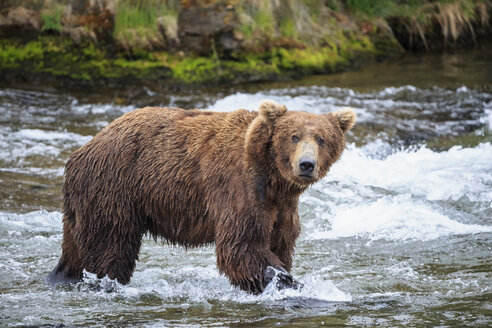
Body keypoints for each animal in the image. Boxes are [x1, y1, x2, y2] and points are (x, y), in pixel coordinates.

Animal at [47, 99, 354, 292]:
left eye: (322, 139)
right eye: (293, 136)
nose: (306, 164)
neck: (273, 177)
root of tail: (83, 149)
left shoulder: (282, 206)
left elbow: (279, 242)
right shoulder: (239, 186)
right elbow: (242, 245)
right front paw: (293, 284)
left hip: (88, 199)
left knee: (76, 247)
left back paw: (61, 276)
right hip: (114, 188)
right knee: (111, 247)